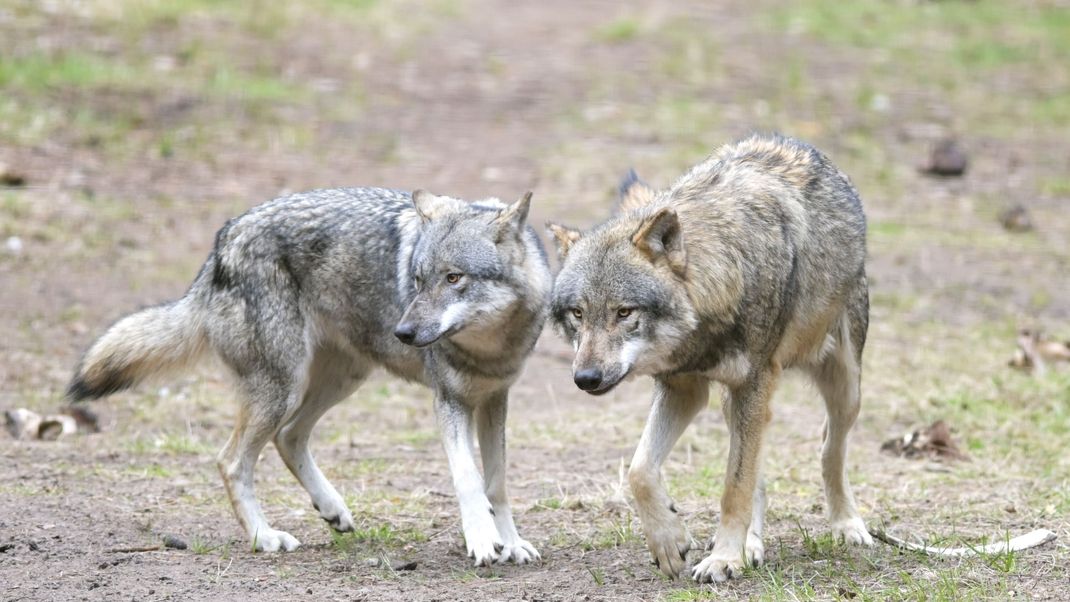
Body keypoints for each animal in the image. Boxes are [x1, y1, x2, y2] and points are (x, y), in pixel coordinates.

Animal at [547, 135, 873, 585]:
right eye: (578, 313)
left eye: (624, 312)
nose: (586, 378)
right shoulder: (684, 388)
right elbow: (640, 471)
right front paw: (670, 542)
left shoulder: (752, 383)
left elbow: (734, 487)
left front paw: (723, 559)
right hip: (734, 402)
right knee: (759, 473)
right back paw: (752, 544)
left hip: (844, 386)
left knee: (829, 449)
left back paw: (846, 525)